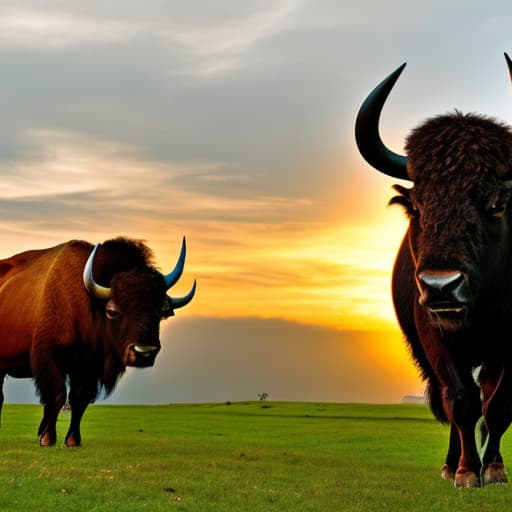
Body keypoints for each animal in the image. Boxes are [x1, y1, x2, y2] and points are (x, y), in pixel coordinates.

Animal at [0, 238, 196, 446]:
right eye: (112, 311)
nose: (144, 352)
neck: (87, 304)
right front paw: (47, 439)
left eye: (161, 311)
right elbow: (57, 395)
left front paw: (72, 440)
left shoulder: (88, 367)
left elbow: (79, 399)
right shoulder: (49, 358)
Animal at [356, 53, 512, 488]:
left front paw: (494, 469)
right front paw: (465, 472)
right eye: (416, 205)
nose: (442, 287)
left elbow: (498, 404)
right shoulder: (434, 338)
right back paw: (450, 464)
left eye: (496, 203)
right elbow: (460, 401)